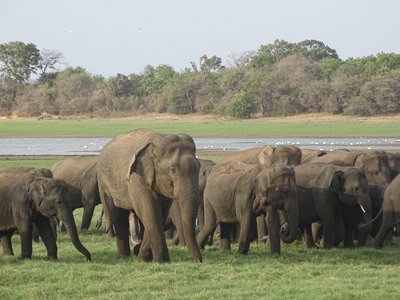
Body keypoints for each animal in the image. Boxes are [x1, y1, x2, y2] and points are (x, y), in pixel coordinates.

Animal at [97, 129, 203, 262]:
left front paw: (144, 259)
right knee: (118, 214)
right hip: (105, 183)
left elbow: (159, 214)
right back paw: (124, 257)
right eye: (173, 170)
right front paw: (161, 261)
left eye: (199, 167)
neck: (159, 139)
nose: (198, 261)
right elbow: (150, 212)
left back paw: (135, 253)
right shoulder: (136, 178)